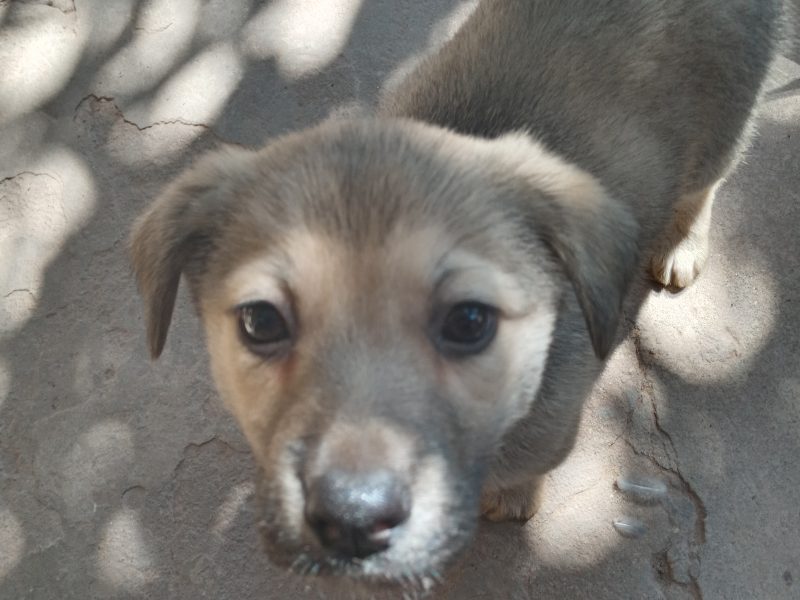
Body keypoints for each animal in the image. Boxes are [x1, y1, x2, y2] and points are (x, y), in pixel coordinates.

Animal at [130, 0, 788, 592]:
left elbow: (531, 463)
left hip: (726, 122)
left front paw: (515, 496)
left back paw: (682, 242)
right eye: (260, 322)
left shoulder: (551, 427)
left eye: (470, 321)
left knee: (707, 183)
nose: (352, 521)